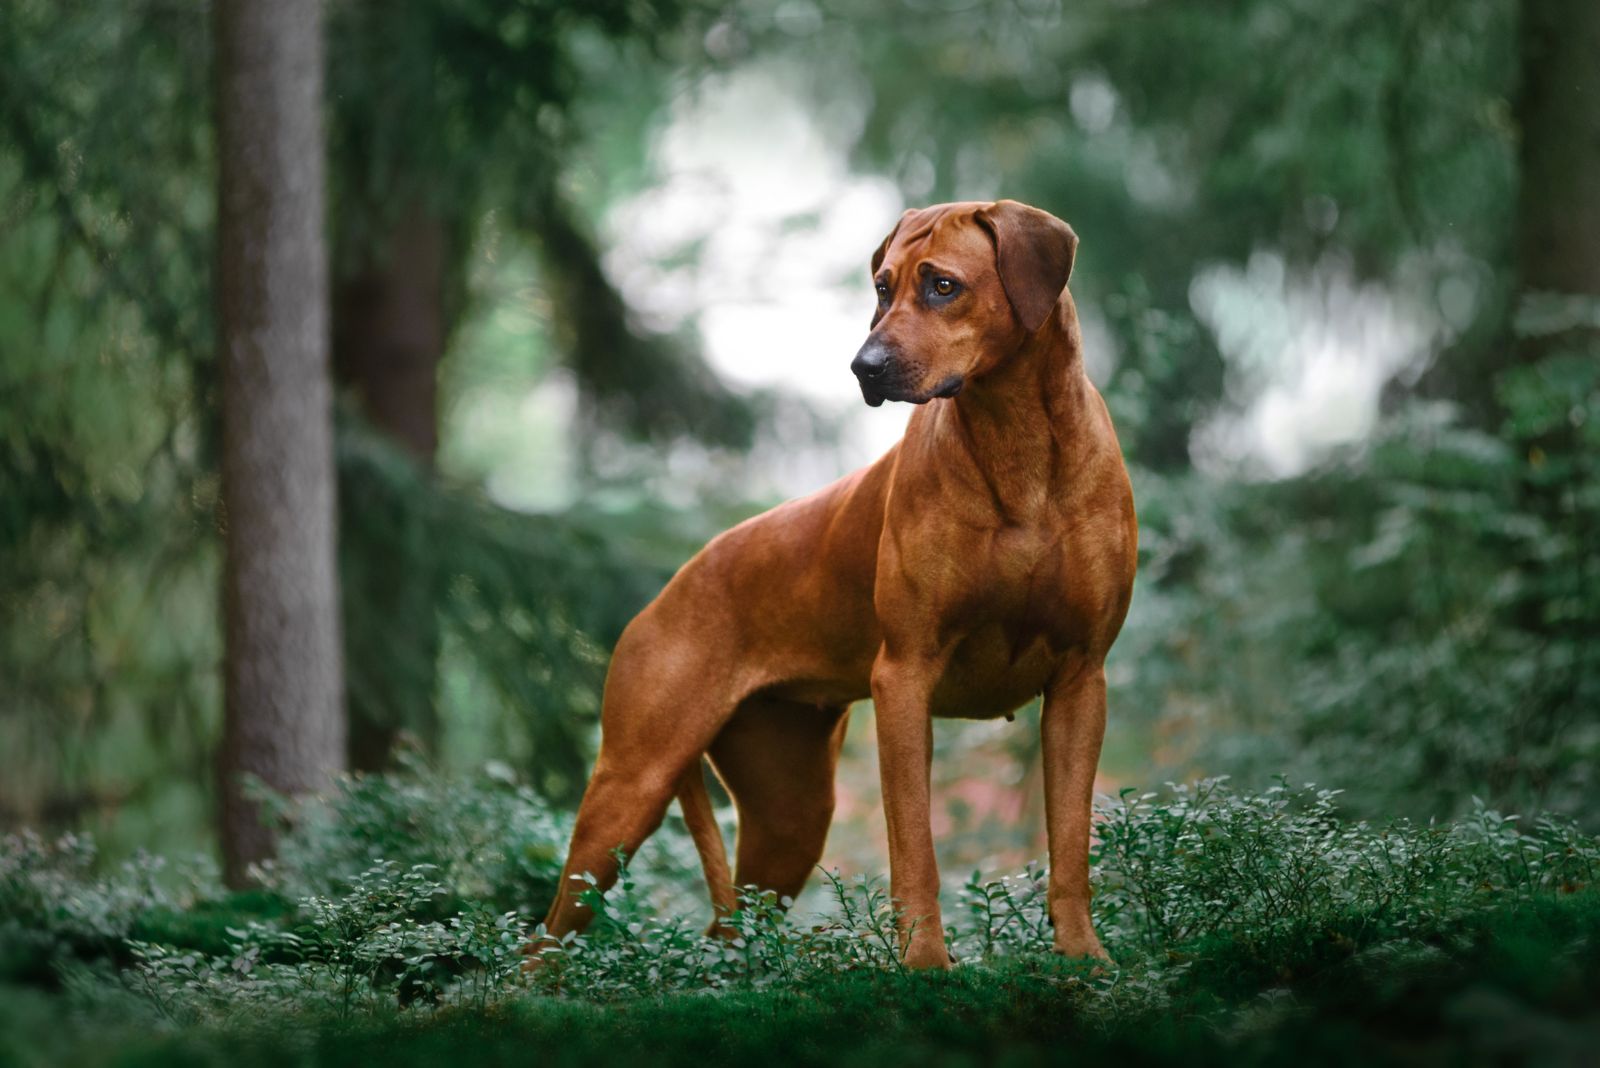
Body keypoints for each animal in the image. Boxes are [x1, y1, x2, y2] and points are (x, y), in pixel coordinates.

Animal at [531, 198, 1145, 965]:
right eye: (882, 287)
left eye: (943, 285)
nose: (863, 367)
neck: (1018, 441)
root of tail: (664, 595)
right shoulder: (904, 679)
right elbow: (914, 851)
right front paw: (926, 965)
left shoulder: (1080, 680)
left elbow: (1069, 845)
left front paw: (1085, 958)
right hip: (630, 784)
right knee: (540, 944)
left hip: (790, 813)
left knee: (727, 931)